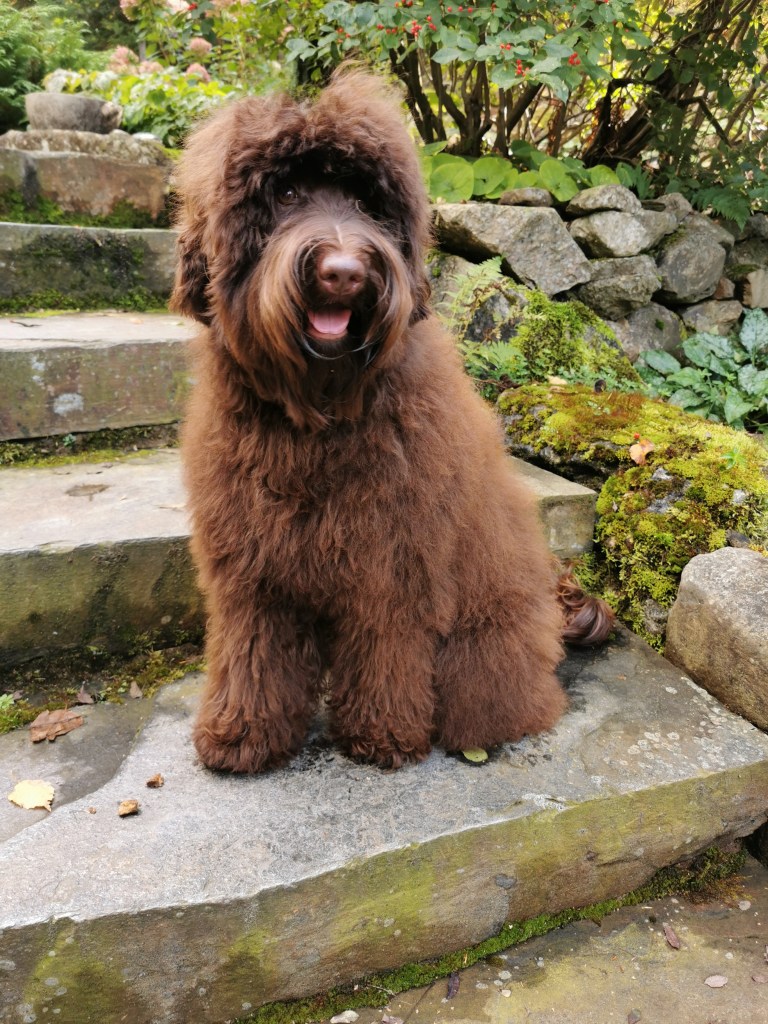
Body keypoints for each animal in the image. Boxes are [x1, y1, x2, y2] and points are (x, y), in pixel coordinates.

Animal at [171, 70, 613, 773]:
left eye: (365, 201)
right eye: (285, 191)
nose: (345, 272)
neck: (322, 408)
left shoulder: (395, 557)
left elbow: (387, 642)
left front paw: (382, 735)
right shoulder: (251, 562)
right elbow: (252, 644)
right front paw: (242, 732)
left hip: (483, 642)